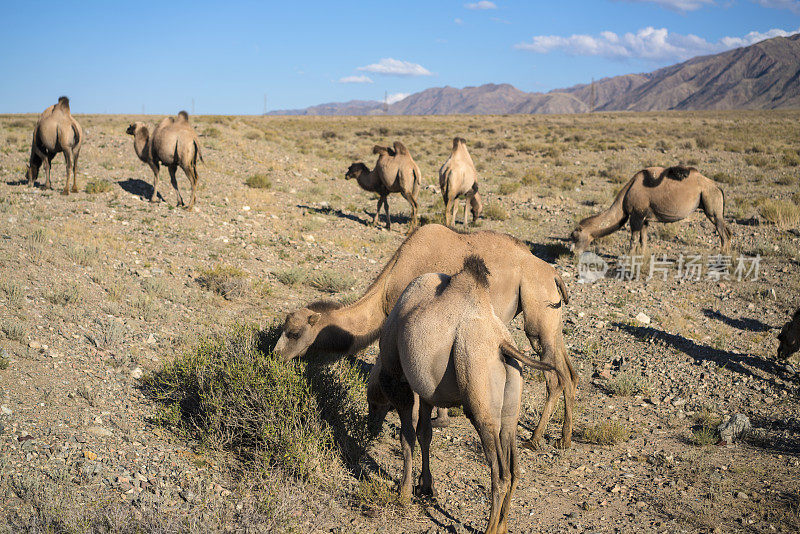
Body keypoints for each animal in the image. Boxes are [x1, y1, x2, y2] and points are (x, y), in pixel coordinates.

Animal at [276, 223, 576, 452]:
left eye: (294, 333)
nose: (275, 355)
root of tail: (553, 273)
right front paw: (441, 417)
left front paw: (433, 420)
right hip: (552, 319)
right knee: (569, 372)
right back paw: (563, 439)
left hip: (536, 311)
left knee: (553, 376)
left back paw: (535, 439)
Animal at [368, 258, 564, 532]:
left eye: (372, 402)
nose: (369, 426)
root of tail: (502, 344)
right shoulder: (428, 393)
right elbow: (424, 434)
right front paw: (425, 486)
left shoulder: (399, 381)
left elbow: (407, 438)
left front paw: (404, 493)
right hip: (510, 408)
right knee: (514, 469)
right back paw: (503, 525)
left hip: (480, 400)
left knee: (499, 473)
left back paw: (490, 528)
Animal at [568, 166, 732, 256]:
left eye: (575, 236)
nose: (573, 252)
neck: (627, 192)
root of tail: (717, 187)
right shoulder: (645, 218)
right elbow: (643, 239)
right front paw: (642, 255)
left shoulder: (636, 215)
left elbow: (633, 239)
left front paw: (629, 257)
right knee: (727, 232)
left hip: (711, 205)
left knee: (723, 232)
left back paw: (722, 256)